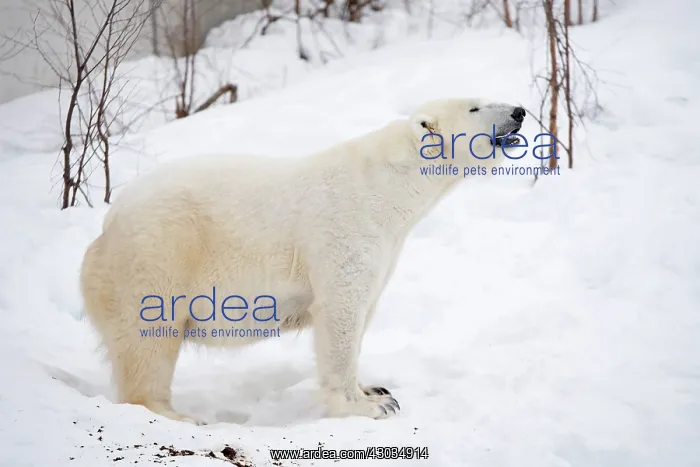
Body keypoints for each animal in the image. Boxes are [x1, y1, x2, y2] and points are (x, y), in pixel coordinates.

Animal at [80, 97, 526, 424]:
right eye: (475, 107)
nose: (519, 112)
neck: (389, 184)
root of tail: (105, 226)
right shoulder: (345, 228)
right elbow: (341, 312)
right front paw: (367, 406)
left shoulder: (387, 247)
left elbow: (364, 311)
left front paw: (376, 389)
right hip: (156, 255)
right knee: (148, 340)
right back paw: (177, 416)